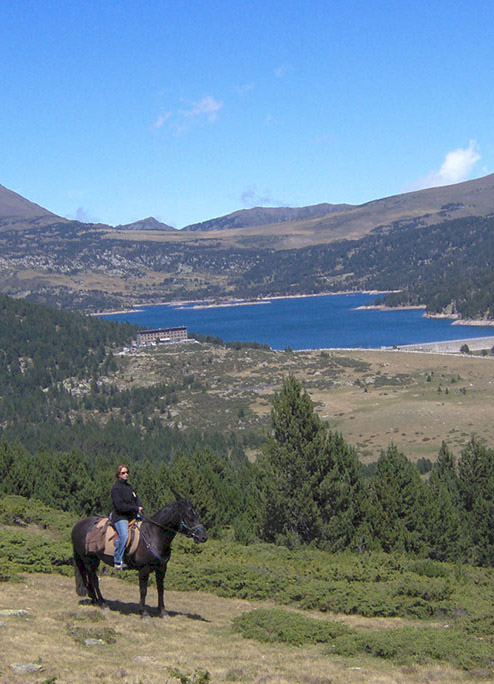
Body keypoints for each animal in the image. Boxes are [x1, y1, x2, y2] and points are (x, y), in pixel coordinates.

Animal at [71, 500, 206, 616]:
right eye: (189, 516)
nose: (203, 537)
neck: (154, 535)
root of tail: (77, 525)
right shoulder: (144, 569)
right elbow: (143, 590)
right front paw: (143, 612)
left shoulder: (161, 568)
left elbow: (160, 589)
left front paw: (163, 611)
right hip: (88, 559)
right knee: (93, 578)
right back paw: (102, 603)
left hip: (94, 559)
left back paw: (94, 600)